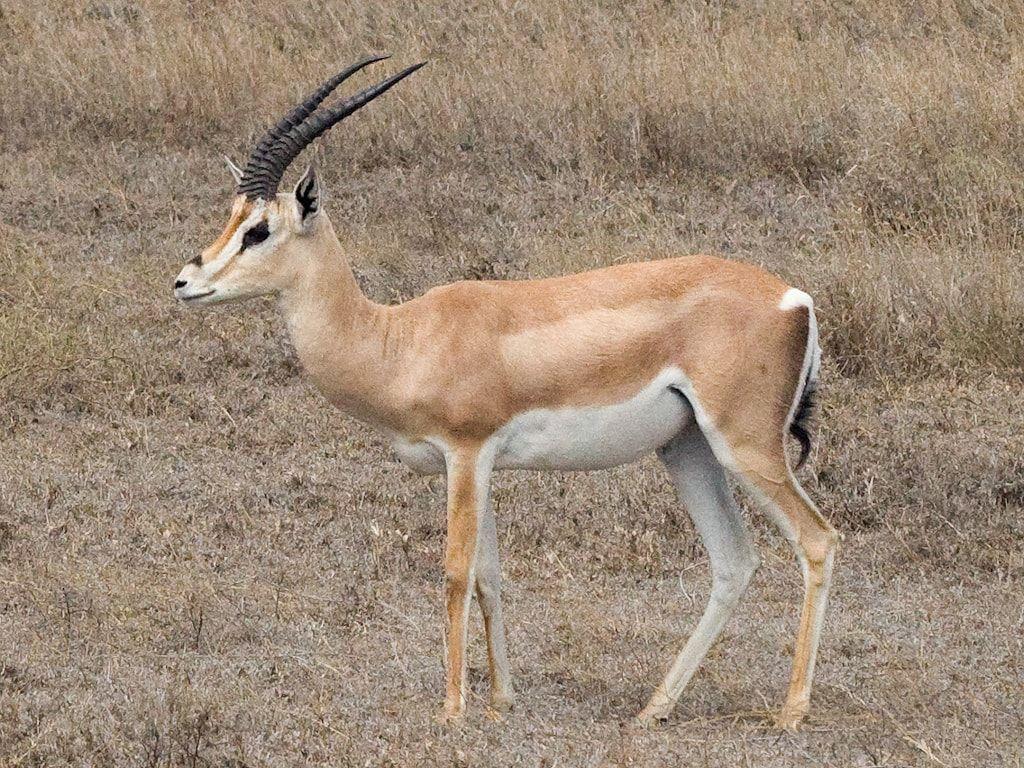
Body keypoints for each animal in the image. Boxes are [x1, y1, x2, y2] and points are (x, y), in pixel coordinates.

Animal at [172, 56, 839, 730]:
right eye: (231, 215)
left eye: (259, 230)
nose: (185, 282)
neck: (401, 338)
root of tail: (795, 299)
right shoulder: (473, 465)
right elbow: (489, 575)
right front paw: (500, 700)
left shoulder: (467, 453)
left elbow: (455, 572)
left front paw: (452, 710)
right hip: (688, 450)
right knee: (733, 560)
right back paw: (652, 710)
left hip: (744, 447)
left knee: (817, 540)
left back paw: (791, 713)